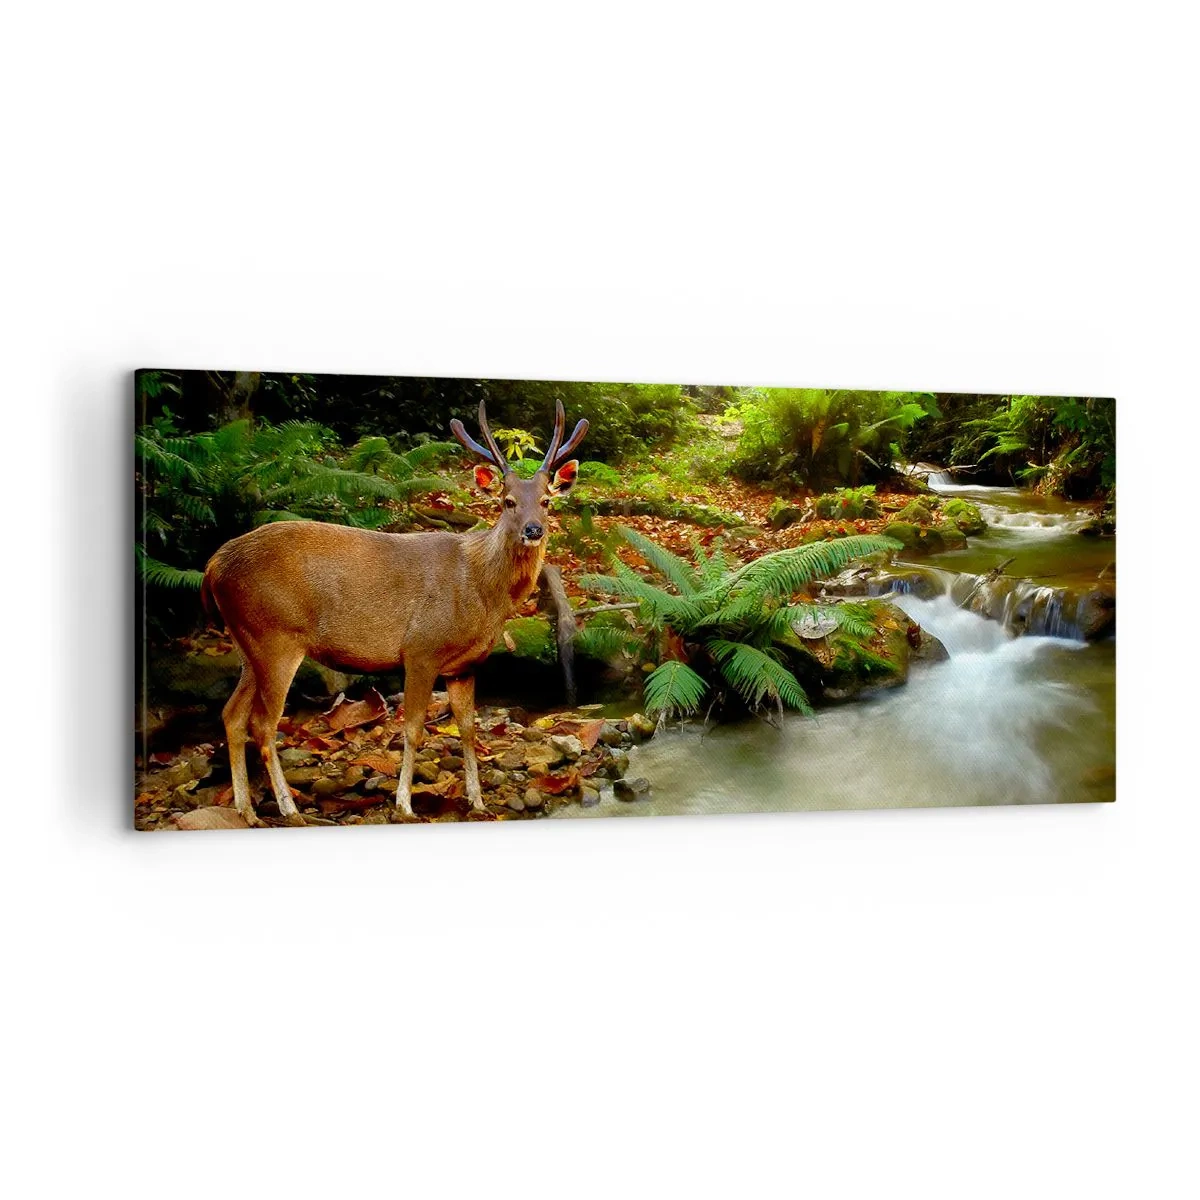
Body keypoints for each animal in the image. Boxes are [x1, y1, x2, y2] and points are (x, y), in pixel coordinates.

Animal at [200, 400, 588, 826]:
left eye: (546, 500)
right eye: (508, 501)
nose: (534, 529)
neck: (482, 593)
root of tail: (213, 566)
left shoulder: (465, 665)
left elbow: (468, 728)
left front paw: (477, 801)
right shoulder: (420, 649)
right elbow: (414, 728)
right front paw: (404, 804)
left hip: (247, 641)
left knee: (231, 715)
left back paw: (246, 809)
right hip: (275, 635)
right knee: (263, 724)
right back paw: (289, 809)